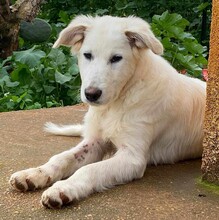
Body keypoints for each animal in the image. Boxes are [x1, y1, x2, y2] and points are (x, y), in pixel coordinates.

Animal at [9, 15, 206, 208]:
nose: (91, 94)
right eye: (87, 55)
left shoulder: (132, 156)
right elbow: (61, 158)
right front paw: (34, 173)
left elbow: (90, 169)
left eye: (116, 58)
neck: (116, 102)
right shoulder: (94, 142)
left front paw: (63, 188)